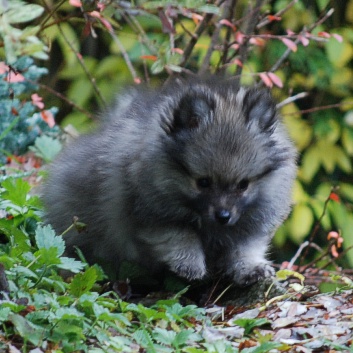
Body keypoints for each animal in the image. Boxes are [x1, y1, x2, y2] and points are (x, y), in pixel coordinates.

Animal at [44, 75, 296, 284]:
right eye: (203, 182)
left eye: (243, 185)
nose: (223, 216)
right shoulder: (152, 217)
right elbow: (181, 235)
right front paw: (190, 264)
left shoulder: (250, 222)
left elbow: (245, 248)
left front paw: (252, 268)